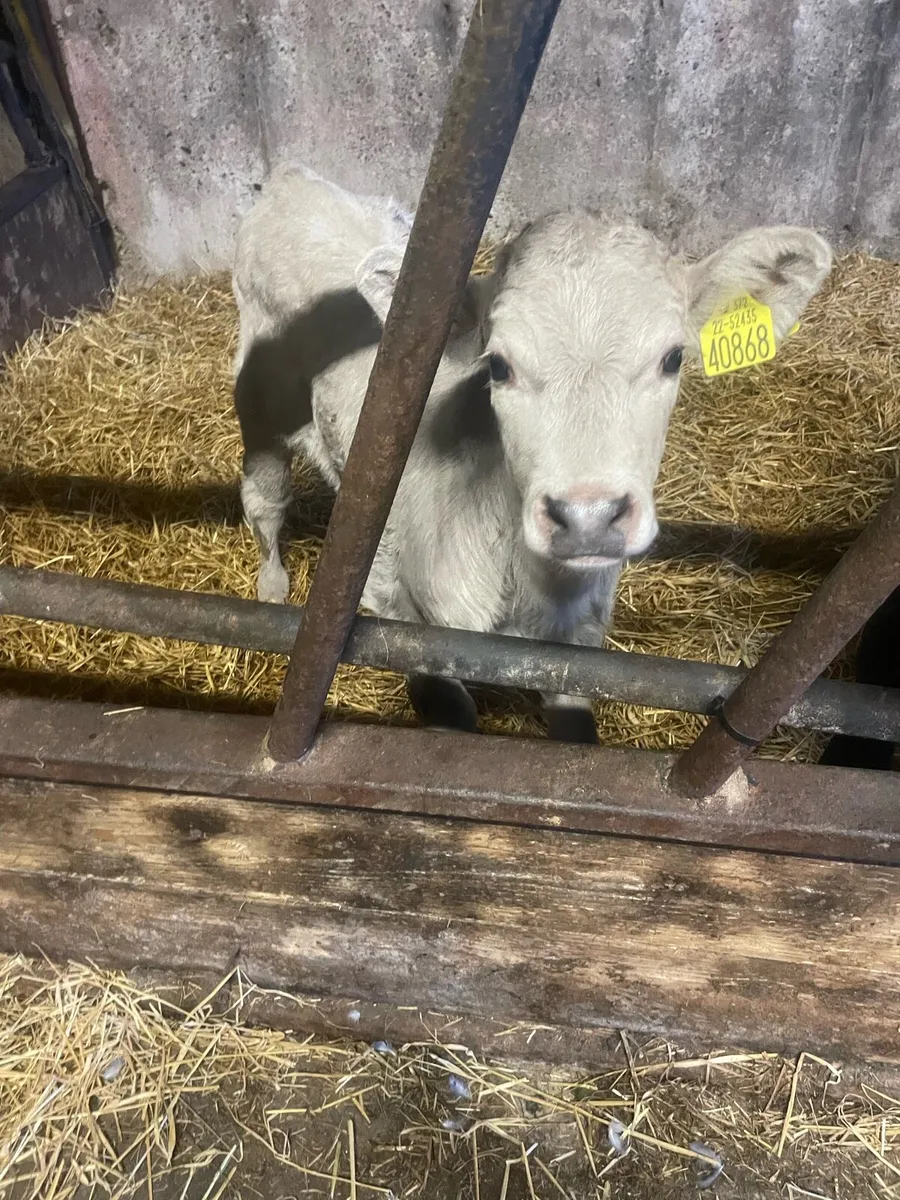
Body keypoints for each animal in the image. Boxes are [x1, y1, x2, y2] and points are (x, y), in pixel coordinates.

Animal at [233, 163, 832, 742]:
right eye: (499, 365)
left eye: (673, 358)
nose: (588, 517)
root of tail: (291, 180)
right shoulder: (411, 628)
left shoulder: (579, 650)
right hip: (258, 404)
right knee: (265, 500)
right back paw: (271, 590)